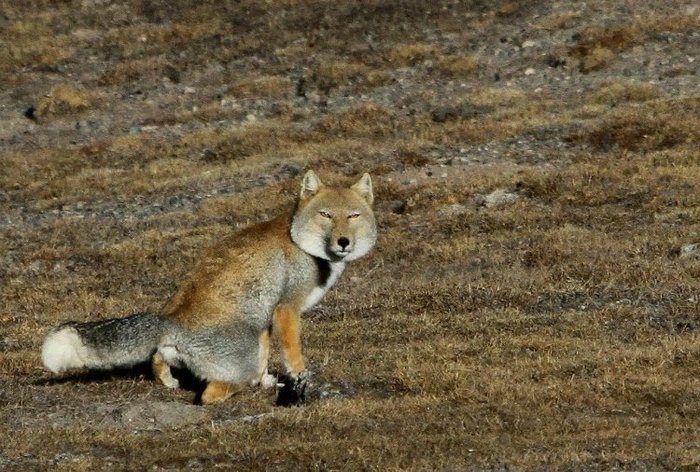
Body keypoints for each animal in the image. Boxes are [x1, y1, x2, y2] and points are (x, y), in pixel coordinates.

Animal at [39, 171, 378, 404]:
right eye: (325, 215)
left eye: (353, 216)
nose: (343, 242)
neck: (301, 243)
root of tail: (171, 320)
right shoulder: (286, 309)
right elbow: (292, 354)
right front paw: (299, 377)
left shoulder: (264, 321)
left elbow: (266, 359)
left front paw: (268, 381)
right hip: (239, 361)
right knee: (209, 395)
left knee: (158, 358)